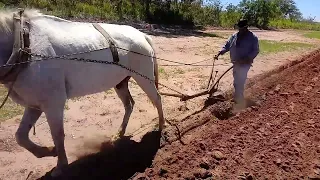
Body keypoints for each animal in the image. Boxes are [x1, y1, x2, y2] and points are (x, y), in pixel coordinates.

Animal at [0, 8, 165, 176]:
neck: (24, 45)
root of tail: (142, 35)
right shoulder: (34, 105)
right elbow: (21, 136)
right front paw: (48, 151)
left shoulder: (53, 103)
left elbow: (57, 135)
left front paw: (61, 165)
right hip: (121, 83)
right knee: (129, 105)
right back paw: (119, 133)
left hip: (144, 77)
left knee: (157, 99)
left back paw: (161, 127)